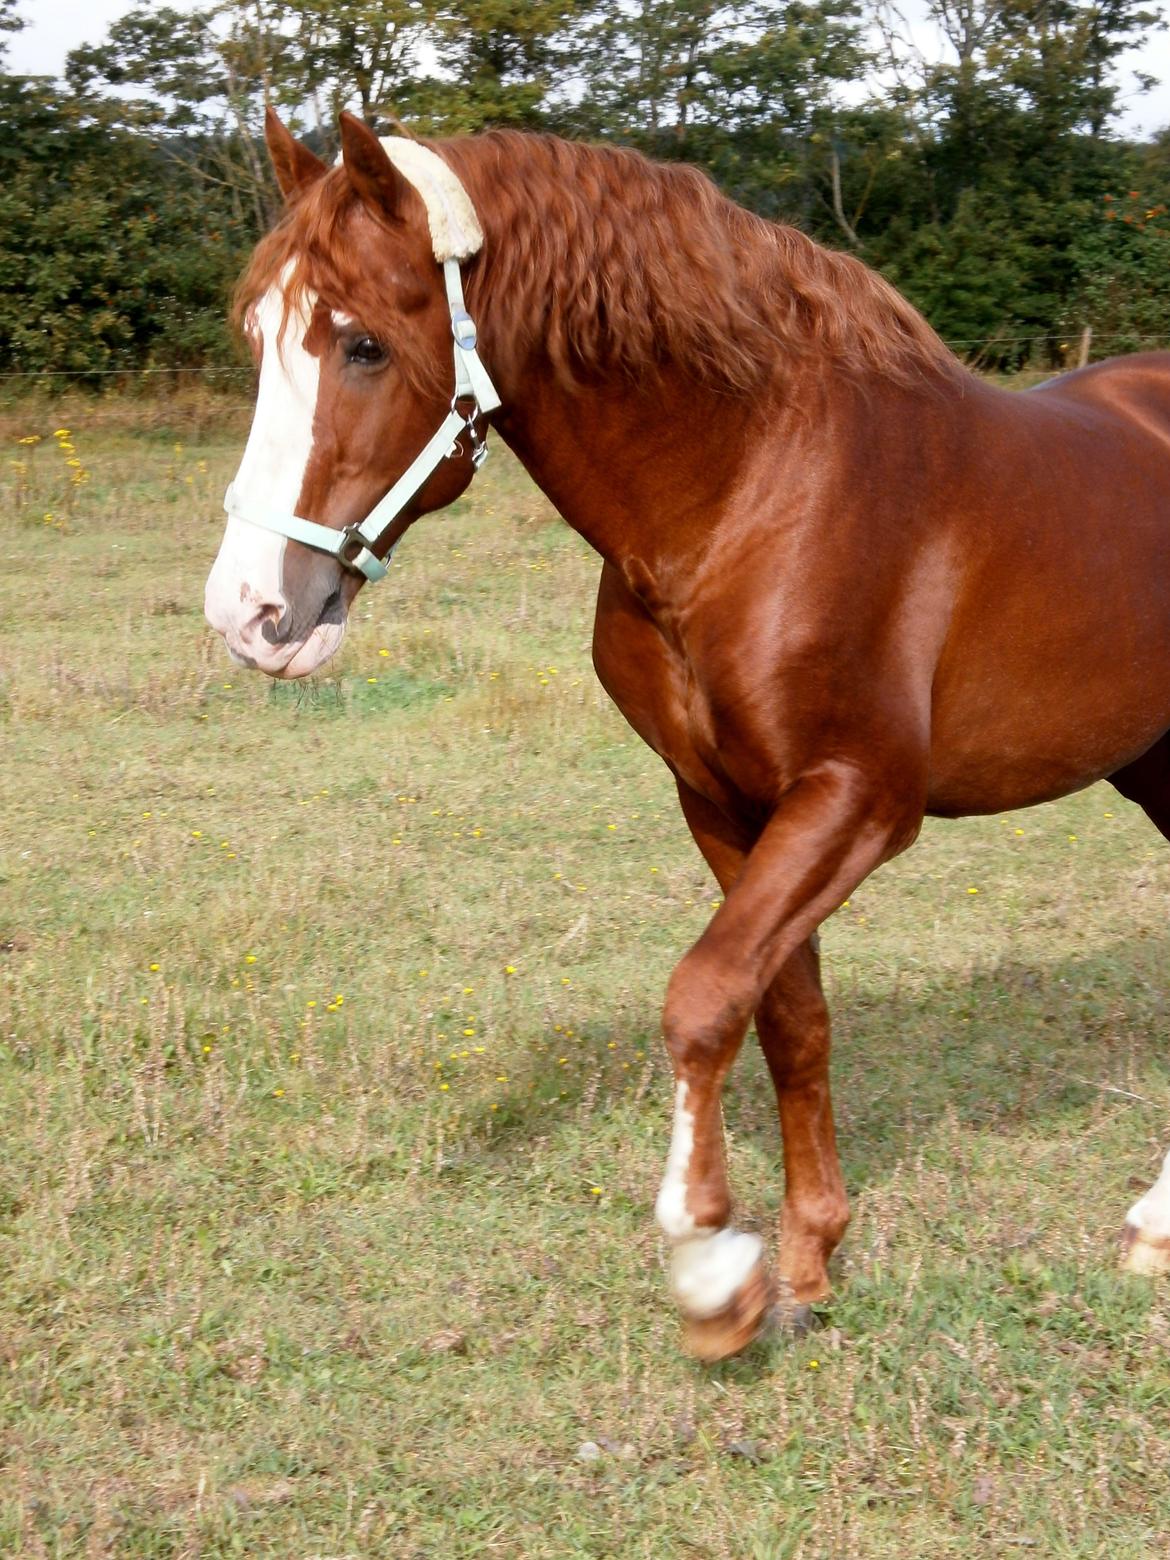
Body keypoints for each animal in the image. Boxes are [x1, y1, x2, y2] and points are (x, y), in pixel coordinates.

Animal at [205, 109, 1170, 1360]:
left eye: (362, 345)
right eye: (257, 336)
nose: (251, 611)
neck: (753, 489)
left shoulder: (860, 798)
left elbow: (704, 996)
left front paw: (712, 1264)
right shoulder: (722, 801)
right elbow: (786, 1014)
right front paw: (807, 1262)